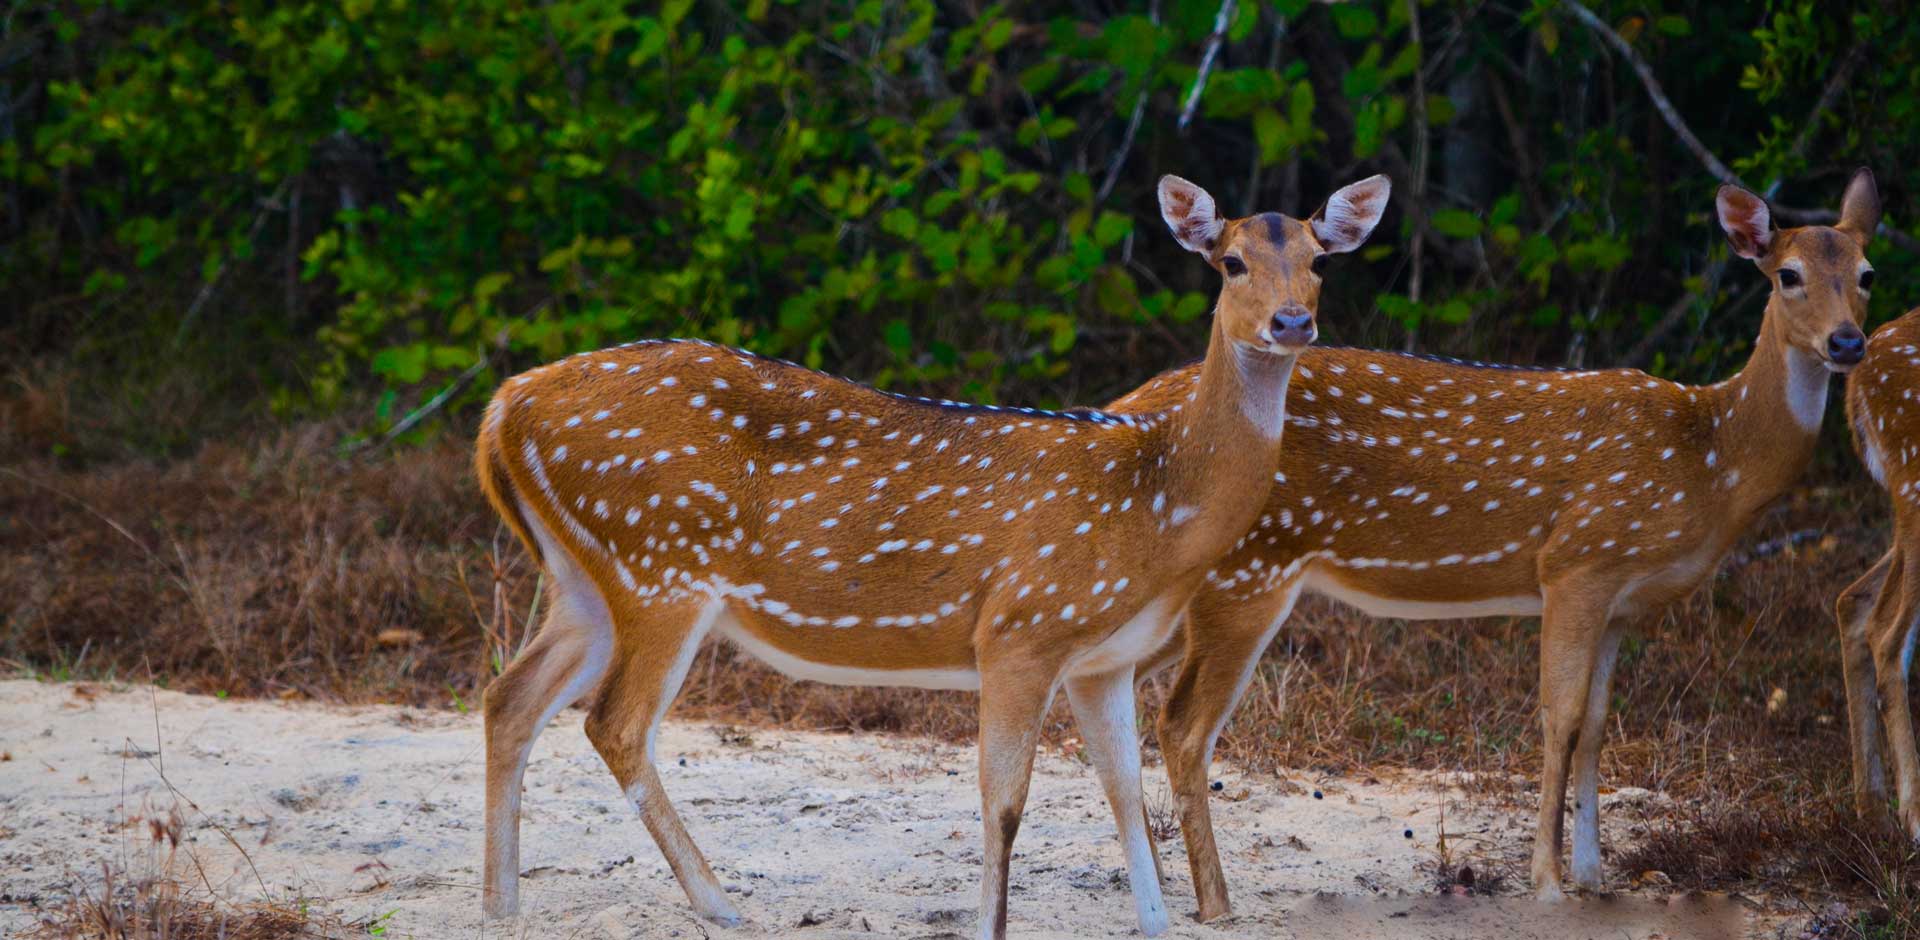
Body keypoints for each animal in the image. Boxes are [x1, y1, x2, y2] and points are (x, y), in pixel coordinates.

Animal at [472, 174, 1390, 932]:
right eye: (1230, 262)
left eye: (1320, 261)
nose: (1293, 322)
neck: (1160, 513)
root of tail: (503, 406)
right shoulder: (1021, 629)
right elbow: (1004, 804)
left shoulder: (1103, 658)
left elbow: (1123, 794)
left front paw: (1162, 921)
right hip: (660, 566)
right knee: (614, 723)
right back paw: (722, 904)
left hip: (583, 578)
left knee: (509, 697)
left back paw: (500, 908)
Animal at [1113, 170, 1873, 916]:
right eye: (1788, 275)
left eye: (1867, 273)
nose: (1847, 343)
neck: (1711, 462)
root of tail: (1129, 402)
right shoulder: (1578, 561)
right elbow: (1560, 718)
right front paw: (1549, 882)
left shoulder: (1621, 604)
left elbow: (1598, 723)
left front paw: (1595, 877)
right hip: (1249, 570)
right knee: (1182, 726)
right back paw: (1215, 904)